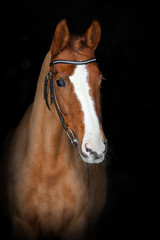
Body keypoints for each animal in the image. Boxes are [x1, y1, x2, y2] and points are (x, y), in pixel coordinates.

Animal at [0, 19, 107, 240]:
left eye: (100, 80)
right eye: (60, 82)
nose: (95, 149)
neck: (48, 170)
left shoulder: (77, 227)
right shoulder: (22, 225)